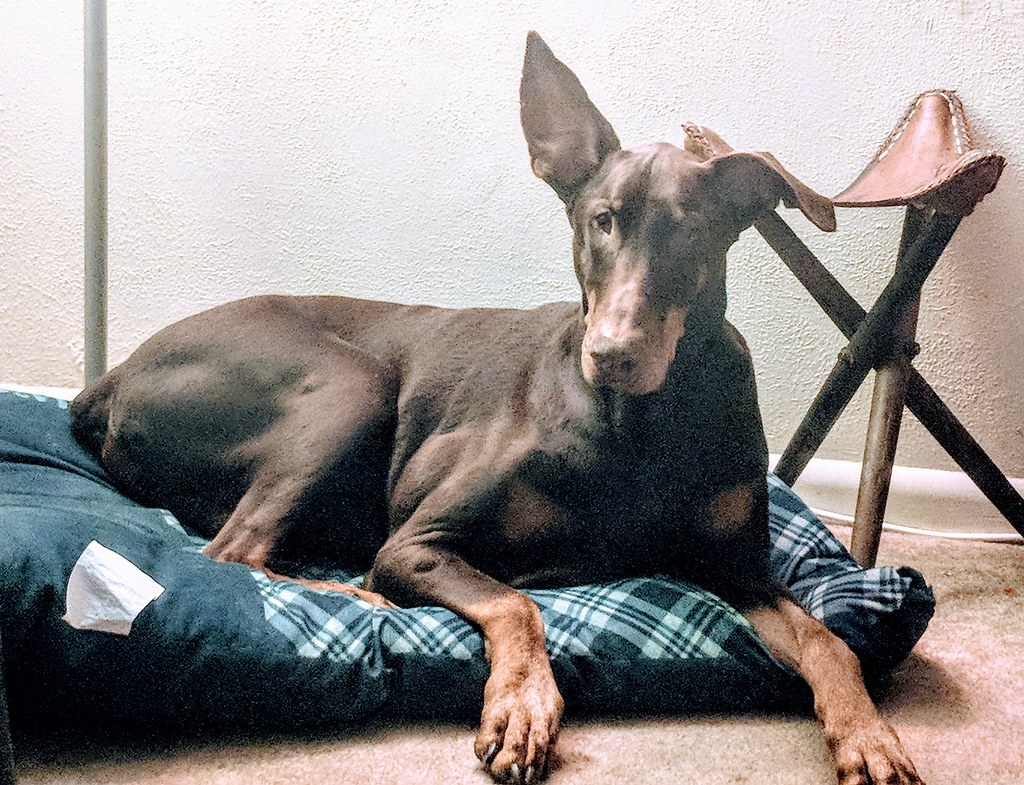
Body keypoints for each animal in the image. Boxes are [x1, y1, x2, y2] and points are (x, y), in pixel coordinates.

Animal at [68, 33, 925, 785]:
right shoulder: (417, 541)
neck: (640, 426)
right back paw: (362, 595)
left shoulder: (735, 567)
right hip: (355, 384)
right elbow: (514, 603)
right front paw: (522, 706)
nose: (614, 354)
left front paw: (870, 737)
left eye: (693, 233)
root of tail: (108, 378)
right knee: (234, 553)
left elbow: (829, 640)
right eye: (601, 220)